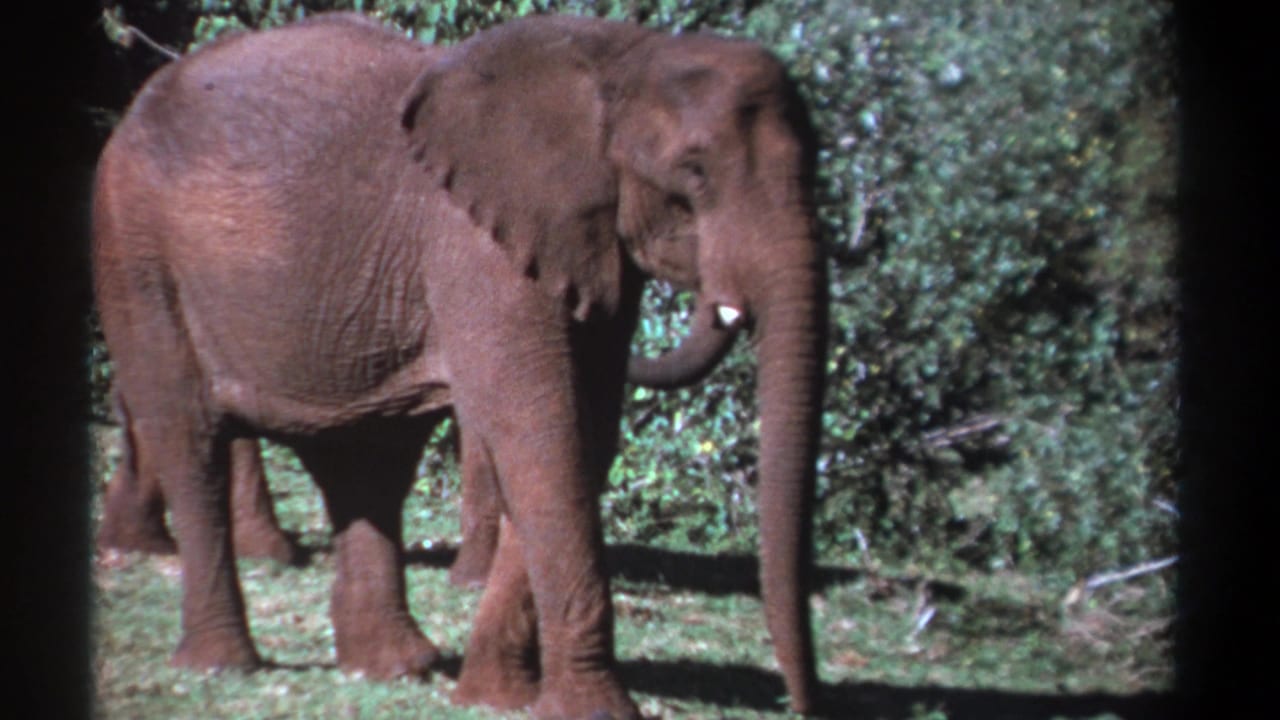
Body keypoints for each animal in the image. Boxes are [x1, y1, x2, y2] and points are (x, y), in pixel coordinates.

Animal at [92, 12, 826, 719]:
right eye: (694, 172)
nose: (800, 701)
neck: (622, 56)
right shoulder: (476, 245)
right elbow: (541, 433)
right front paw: (590, 711)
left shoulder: (584, 245)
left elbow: (582, 440)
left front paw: (491, 696)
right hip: (136, 255)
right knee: (191, 440)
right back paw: (223, 665)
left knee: (366, 465)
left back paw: (393, 667)